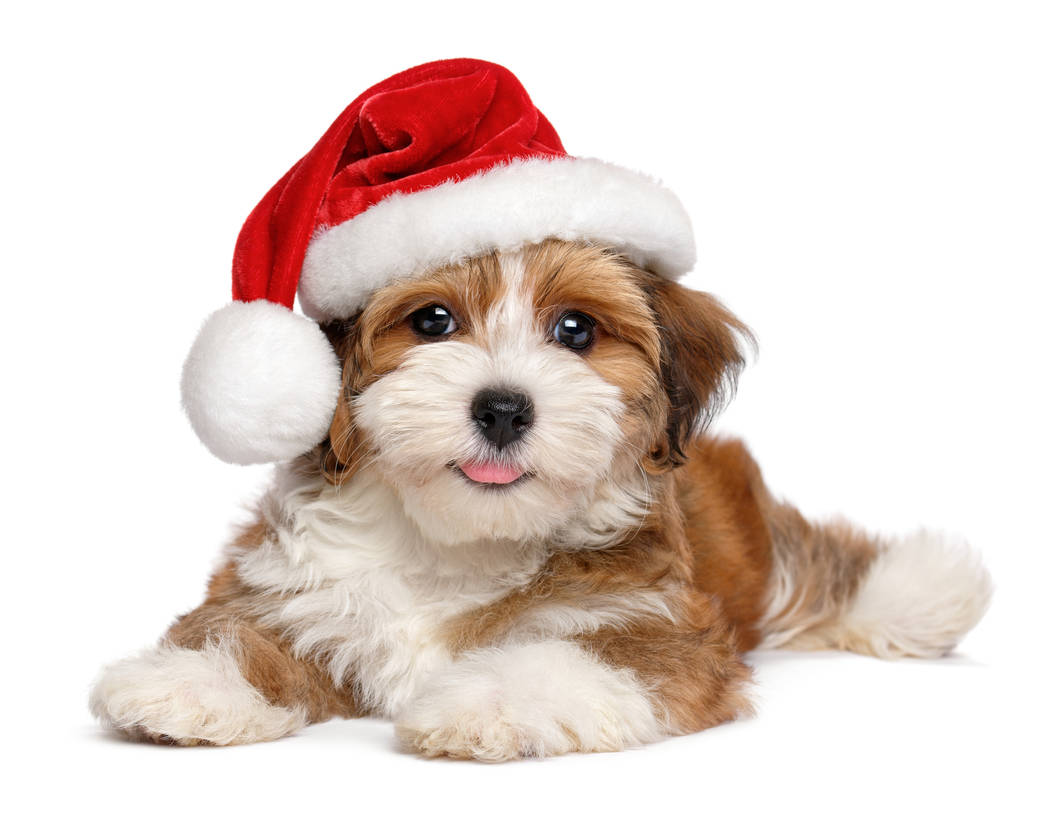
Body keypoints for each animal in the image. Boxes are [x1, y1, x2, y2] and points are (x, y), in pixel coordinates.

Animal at [90, 240, 991, 760]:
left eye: (576, 331)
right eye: (433, 320)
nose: (502, 406)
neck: (456, 539)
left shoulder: (657, 621)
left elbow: (571, 655)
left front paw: (481, 700)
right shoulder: (295, 581)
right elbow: (246, 624)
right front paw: (190, 681)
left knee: (805, 566)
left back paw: (927, 589)